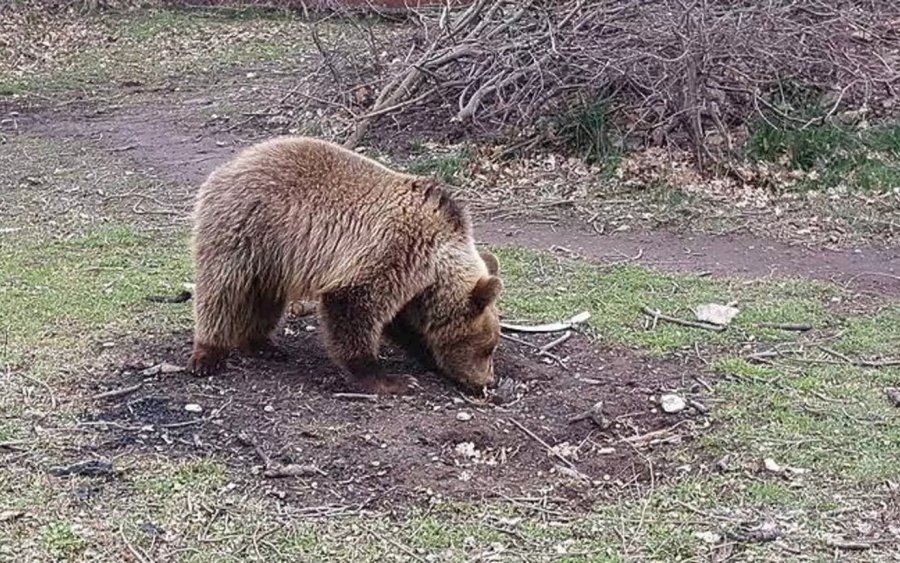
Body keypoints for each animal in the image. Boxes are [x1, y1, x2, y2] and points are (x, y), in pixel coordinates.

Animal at [187, 135, 502, 396]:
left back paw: (263, 344)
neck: (435, 265)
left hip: (273, 257)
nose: (486, 382)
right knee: (222, 291)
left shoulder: (411, 281)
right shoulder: (394, 250)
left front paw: (426, 355)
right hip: (245, 229)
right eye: (487, 347)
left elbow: (401, 323)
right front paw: (391, 379)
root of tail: (230, 164)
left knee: (264, 297)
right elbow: (353, 307)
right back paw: (208, 355)